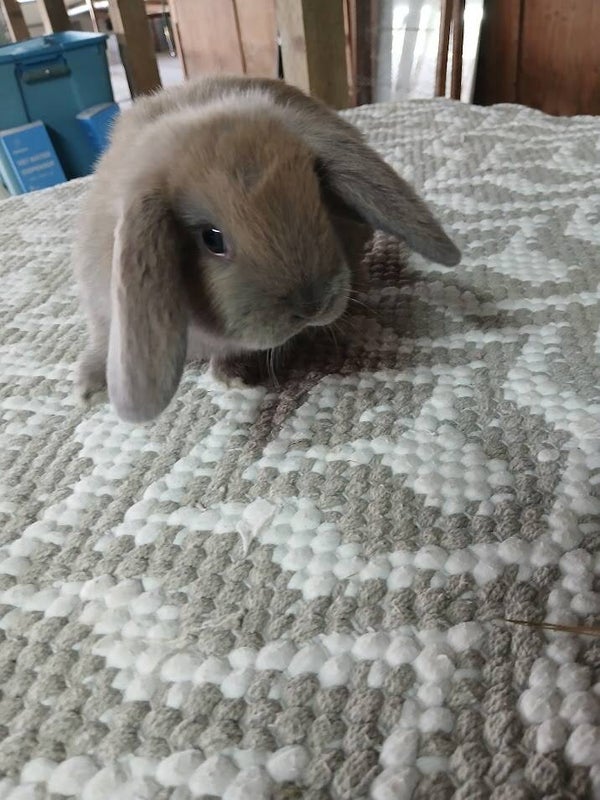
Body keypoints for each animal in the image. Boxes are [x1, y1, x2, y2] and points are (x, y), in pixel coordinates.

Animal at [73, 75, 460, 423]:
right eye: (211, 239)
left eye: (319, 199)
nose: (312, 306)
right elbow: (101, 341)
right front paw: (88, 389)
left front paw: (230, 377)